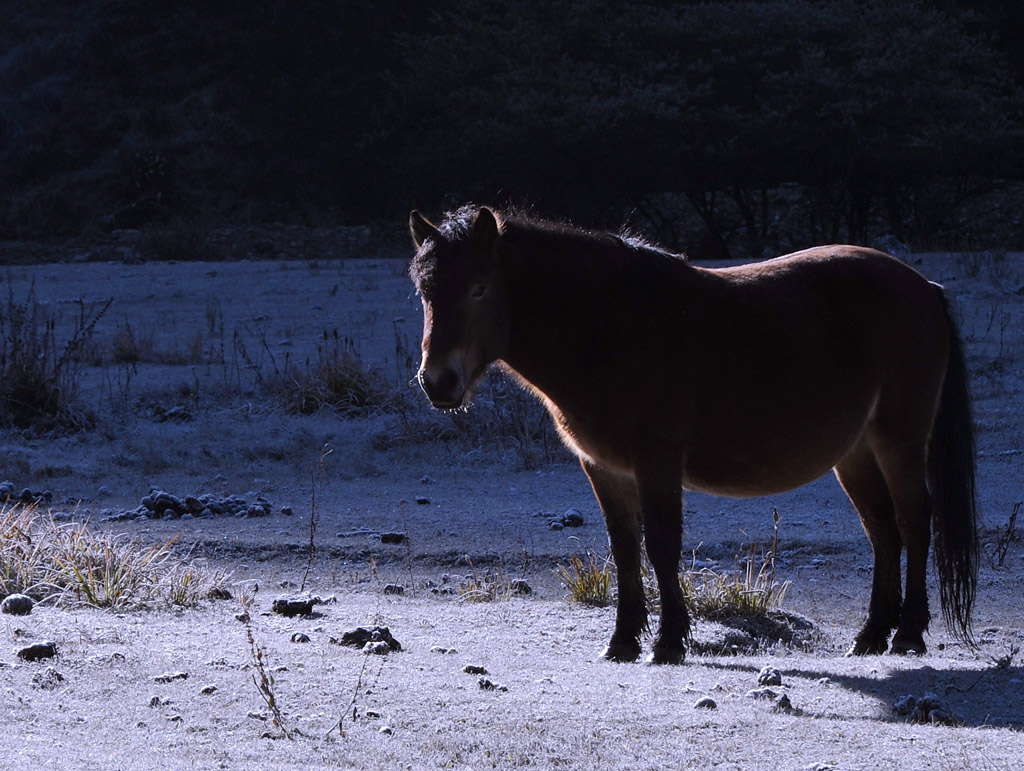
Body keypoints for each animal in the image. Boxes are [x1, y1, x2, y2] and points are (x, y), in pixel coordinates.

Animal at [407, 204, 974, 663]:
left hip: (898, 440)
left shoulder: (656, 460)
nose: (438, 382)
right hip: (855, 453)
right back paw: (872, 635)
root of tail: (925, 289)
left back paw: (908, 634)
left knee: (913, 521)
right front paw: (622, 642)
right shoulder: (603, 467)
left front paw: (669, 642)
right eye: (424, 292)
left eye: (479, 288)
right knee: (882, 530)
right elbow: (624, 548)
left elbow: (662, 545)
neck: (612, 327)